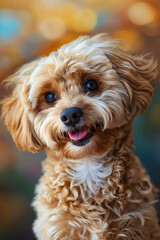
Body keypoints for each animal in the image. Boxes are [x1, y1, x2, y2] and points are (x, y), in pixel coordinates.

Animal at [1, 34, 160, 240]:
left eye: (91, 84)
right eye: (50, 97)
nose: (70, 115)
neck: (88, 165)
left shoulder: (138, 222)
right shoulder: (58, 228)